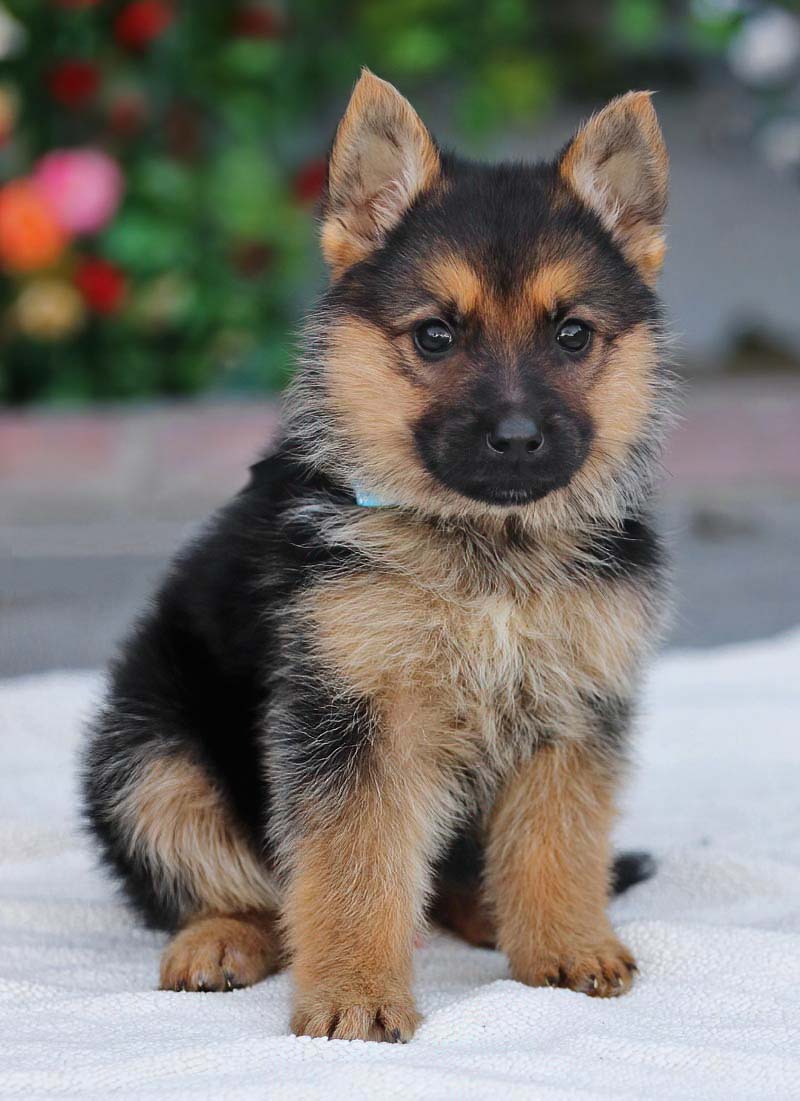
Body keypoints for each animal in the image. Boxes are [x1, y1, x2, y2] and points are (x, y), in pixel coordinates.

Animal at [83, 70, 672, 1042]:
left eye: (572, 335)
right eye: (435, 335)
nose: (518, 439)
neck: (484, 544)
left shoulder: (571, 705)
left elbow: (558, 839)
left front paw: (564, 946)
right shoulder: (353, 714)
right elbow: (354, 863)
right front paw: (355, 994)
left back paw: (485, 914)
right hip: (150, 752)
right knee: (223, 881)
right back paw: (219, 941)